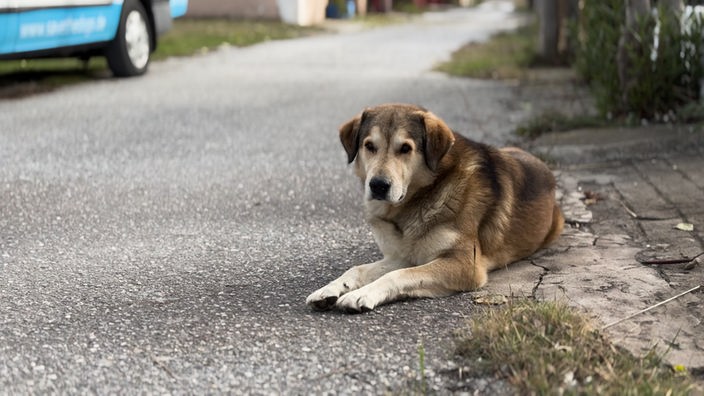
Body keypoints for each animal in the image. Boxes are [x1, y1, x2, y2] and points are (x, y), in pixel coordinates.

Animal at [306, 103, 564, 312]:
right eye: (369, 146)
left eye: (405, 148)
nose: (378, 185)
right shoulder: (403, 255)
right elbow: (357, 269)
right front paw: (328, 290)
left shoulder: (465, 265)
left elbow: (396, 275)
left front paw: (362, 294)